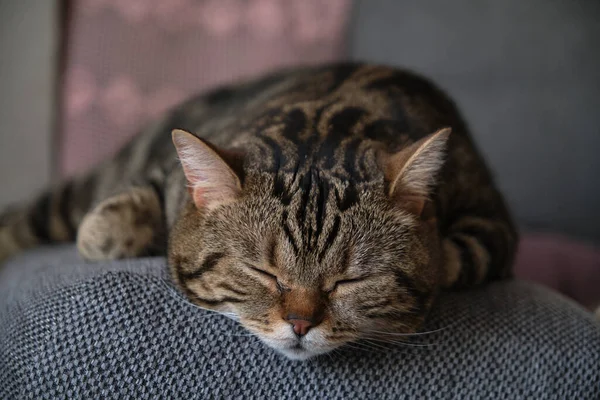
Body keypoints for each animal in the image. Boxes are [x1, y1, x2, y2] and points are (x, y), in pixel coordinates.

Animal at [0, 63, 516, 360]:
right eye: (263, 273)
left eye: (349, 281)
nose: (301, 324)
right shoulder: (163, 175)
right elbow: (108, 223)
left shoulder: (491, 224)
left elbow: (448, 263)